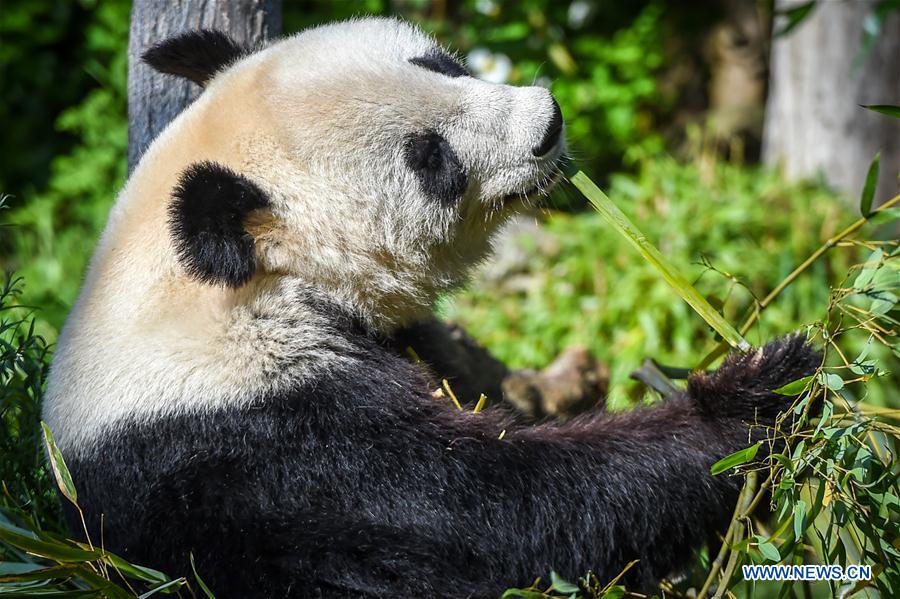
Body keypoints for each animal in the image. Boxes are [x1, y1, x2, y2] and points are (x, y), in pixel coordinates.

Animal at [44, 17, 824, 599]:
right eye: (431, 159)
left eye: (442, 63)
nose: (548, 122)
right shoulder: (260, 447)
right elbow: (503, 514)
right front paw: (753, 393)